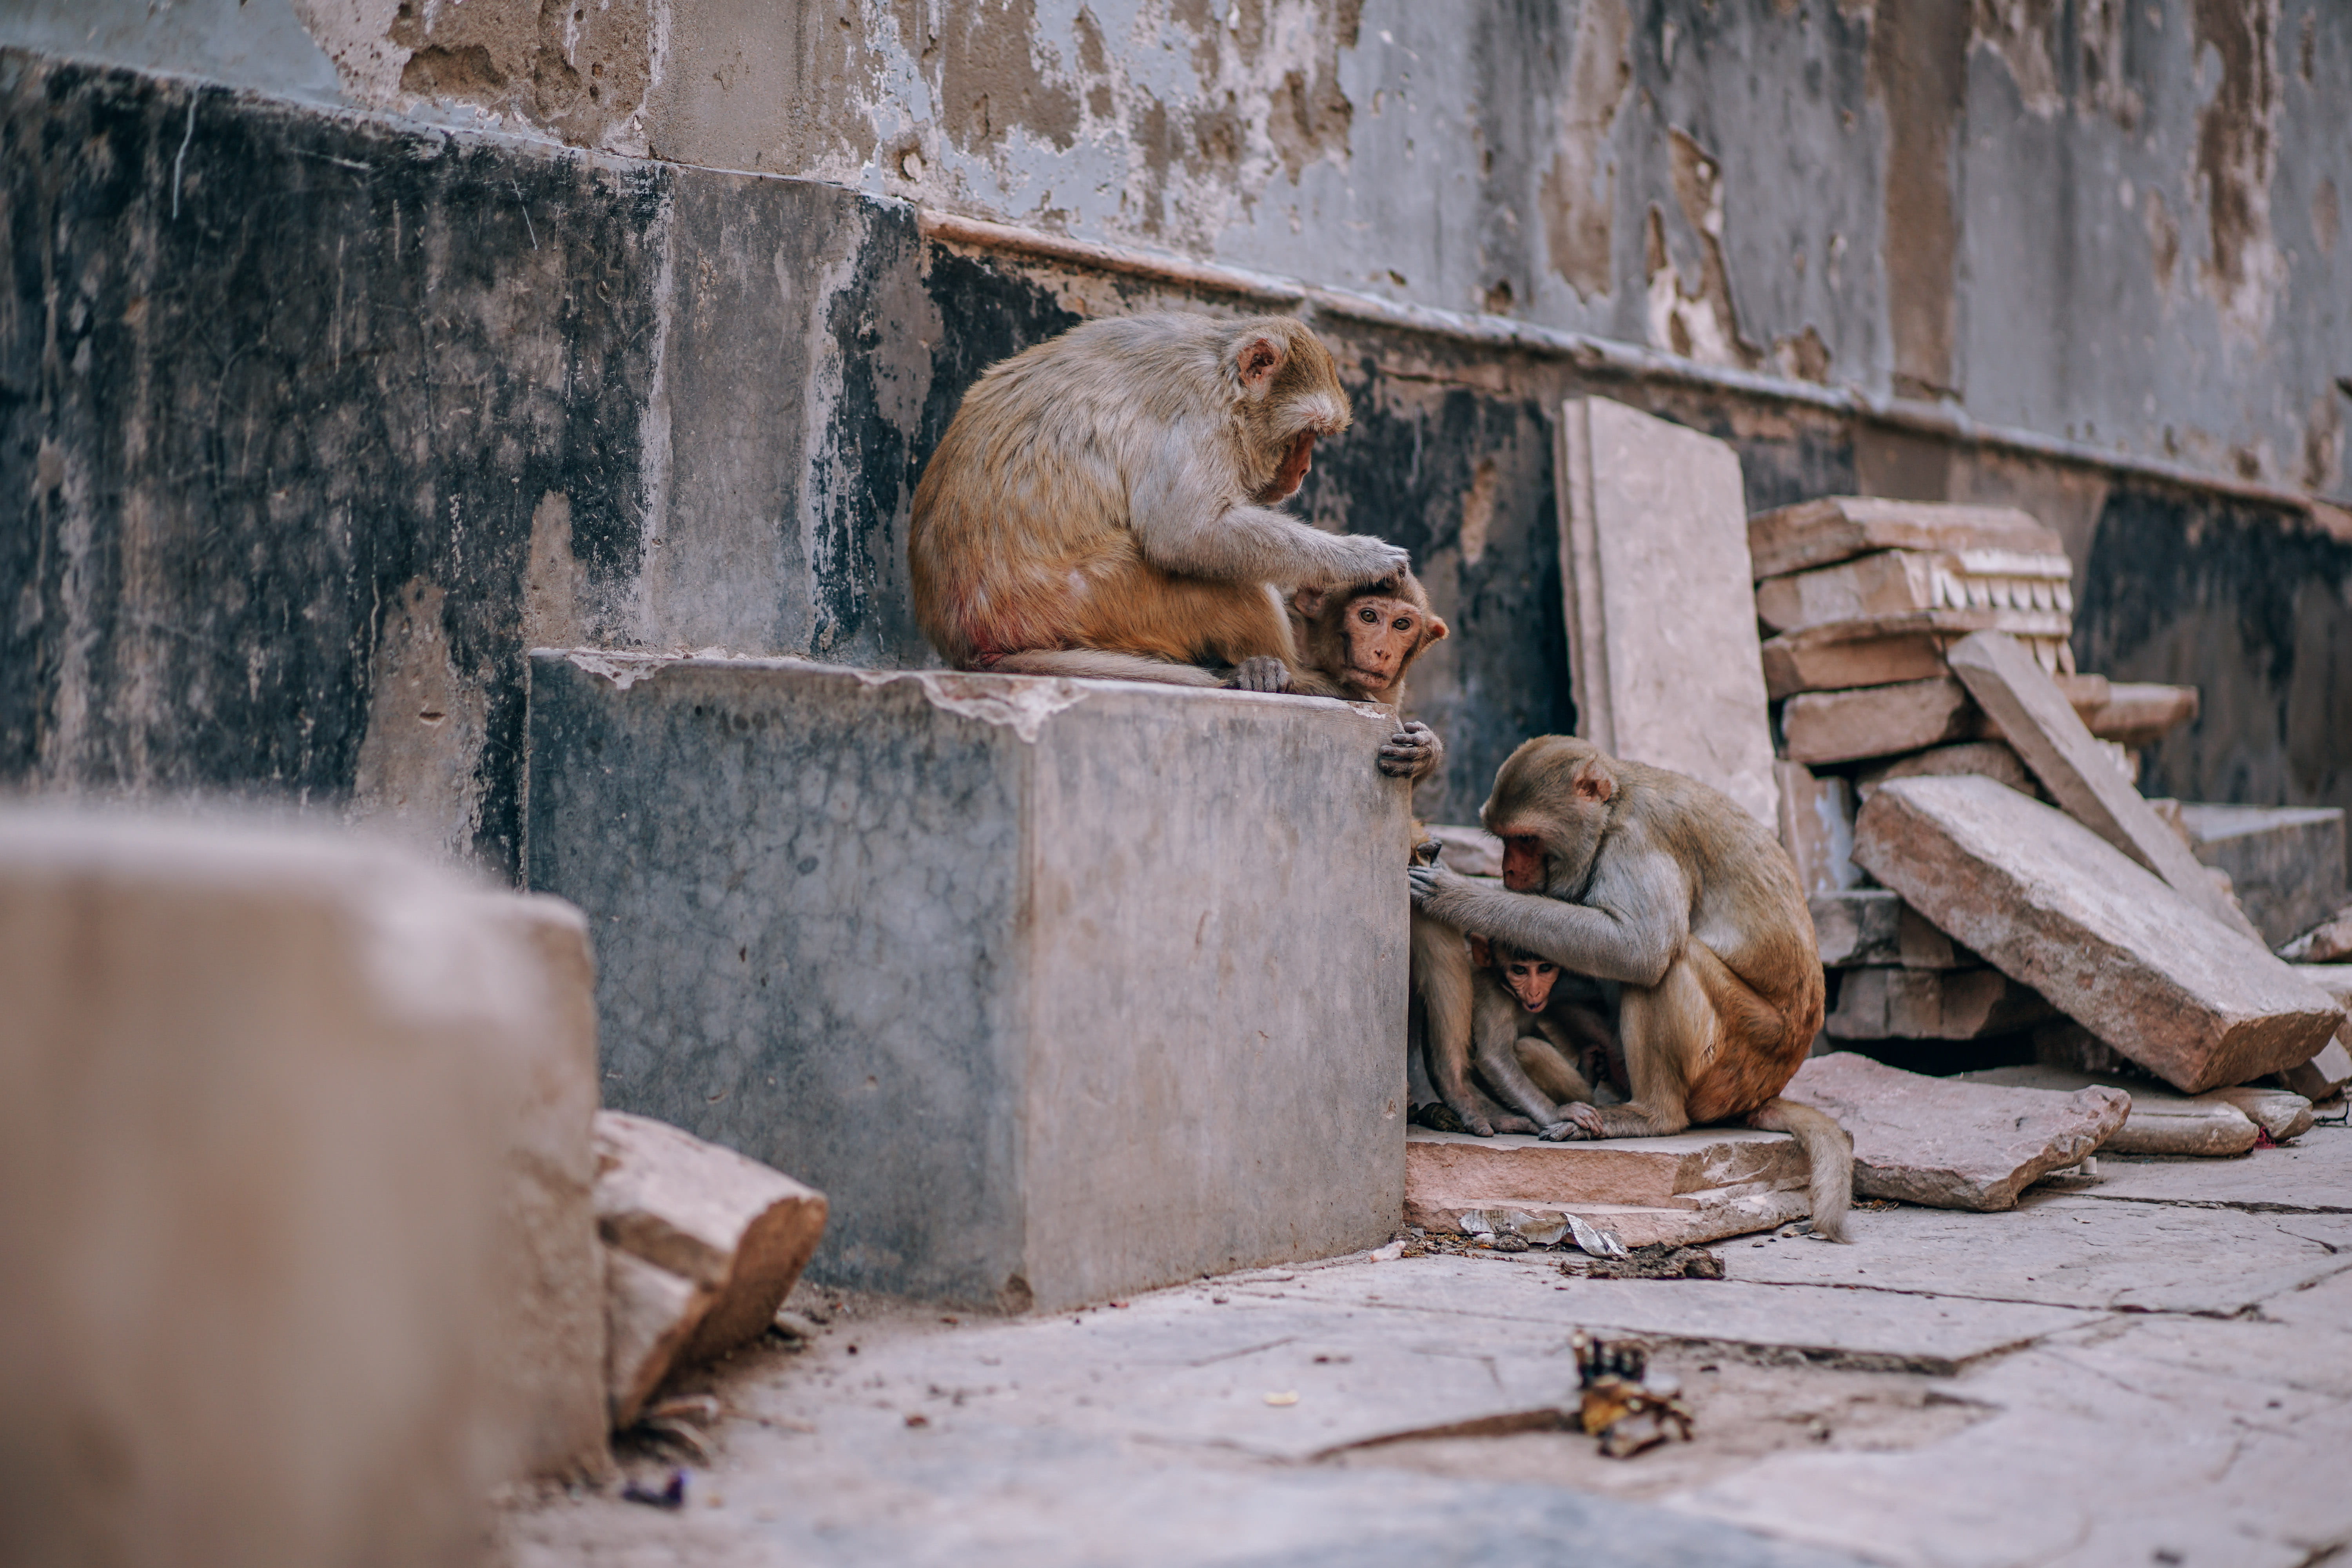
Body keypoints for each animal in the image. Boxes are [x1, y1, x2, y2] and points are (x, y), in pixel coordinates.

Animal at [908, 313, 1408, 690]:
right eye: (1305, 434)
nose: (1303, 471)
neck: (1223, 374)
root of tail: (973, 645)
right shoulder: (1195, 413)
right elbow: (1187, 533)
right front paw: (1361, 558)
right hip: (1102, 598)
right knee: (1228, 580)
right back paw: (1286, 674)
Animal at [1408, 736, 1852, 1240]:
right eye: (1504, 839)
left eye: (1526, 839)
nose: (1509, 873)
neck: (1613, 808)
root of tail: (1765, 1091)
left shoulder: (1637, 842)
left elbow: (1640, 948)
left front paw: (1460, 895)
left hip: (1738, 1059)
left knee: (1669, 963)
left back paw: (1650, 1115)